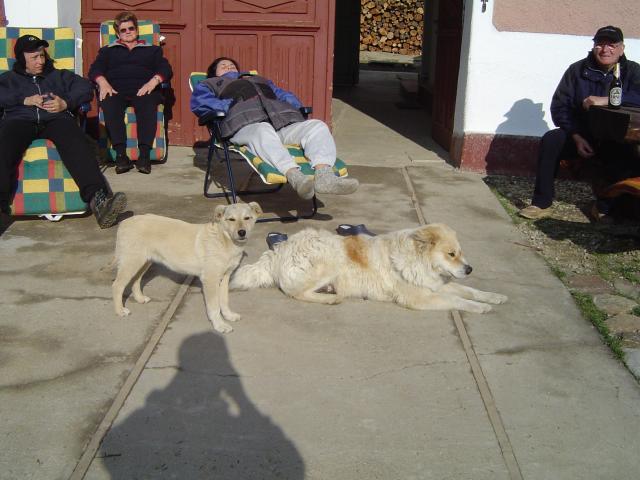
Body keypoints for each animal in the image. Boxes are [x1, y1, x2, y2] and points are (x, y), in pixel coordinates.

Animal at [112, 202, 262, 333]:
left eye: (247, 218)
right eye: (231, 219)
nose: (242, 232)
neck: (224, 240)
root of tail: (124, 223)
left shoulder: (225, 277)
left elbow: (224, 300)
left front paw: (229, 316)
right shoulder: (210, 280)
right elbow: (214, 307)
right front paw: (220, 325)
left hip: (143, 261)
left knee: (136, 280)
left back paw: (140, 298)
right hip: (132, 262)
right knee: (117, 285)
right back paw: (120, 311)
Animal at [231, 224, 507, 313]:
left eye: (460, 253)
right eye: (451, 254)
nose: (470, 269)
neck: (417, 260)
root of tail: (279, 250)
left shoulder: (438, 285)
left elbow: (470, 291)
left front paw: (494, 297)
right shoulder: (421, 298)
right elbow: (460, 301)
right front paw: (480, 308)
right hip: (329, 261)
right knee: (295, 293)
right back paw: (330, 299)